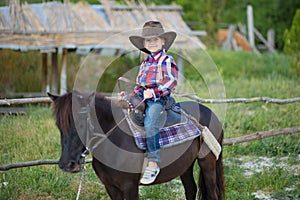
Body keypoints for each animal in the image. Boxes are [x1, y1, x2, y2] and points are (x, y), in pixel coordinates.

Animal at [48, 91, 224, 199]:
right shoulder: (111, 187)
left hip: (208, 162)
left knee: (213, 193)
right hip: (185, 166)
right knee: (191, 189)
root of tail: (210, 112)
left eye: (81, 124)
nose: (67, 164)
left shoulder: (130, 187)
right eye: (58, 125)